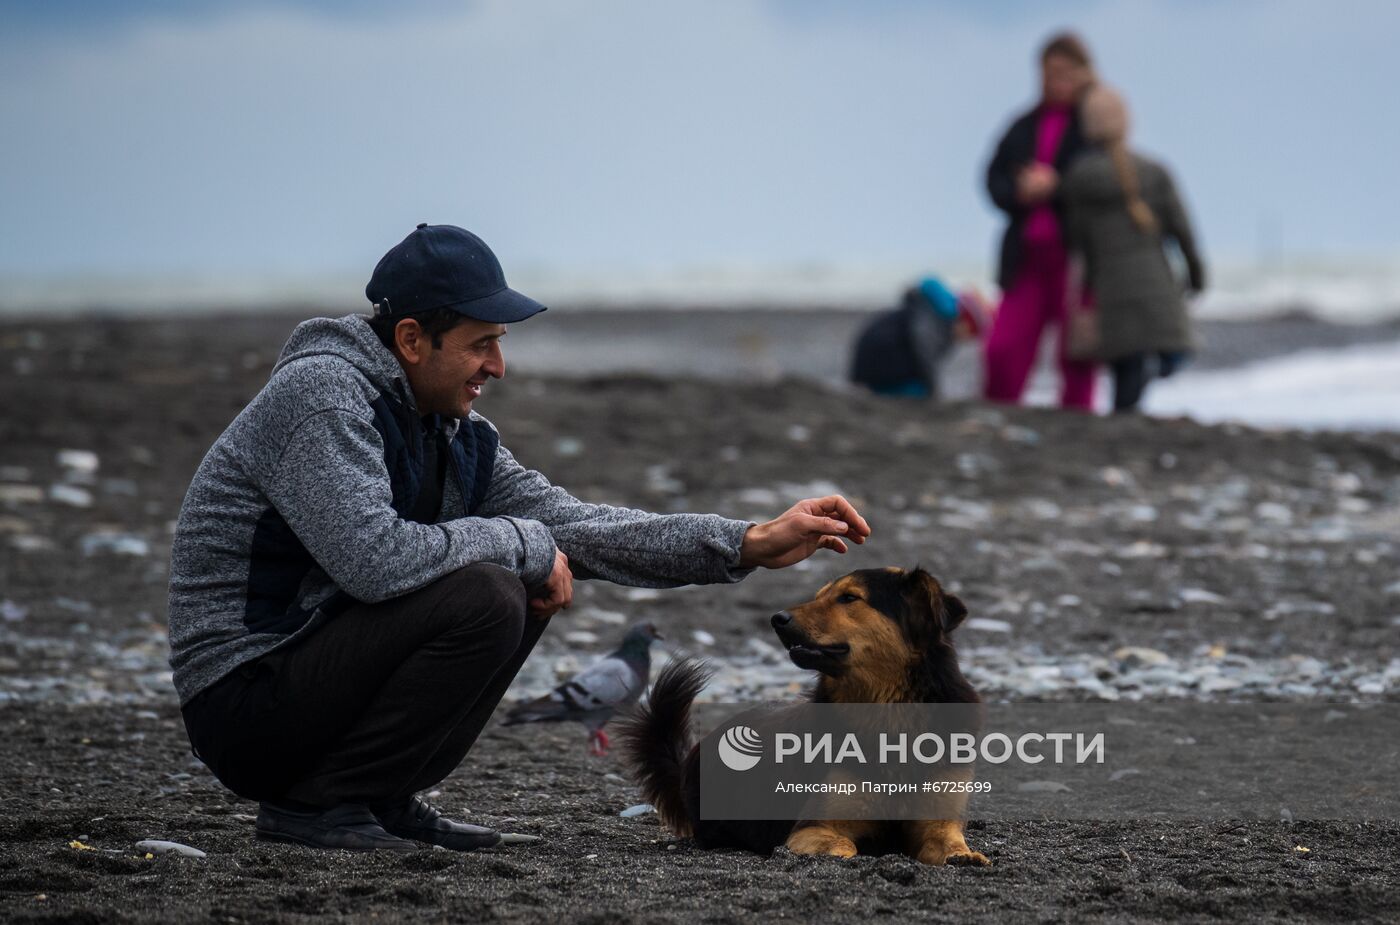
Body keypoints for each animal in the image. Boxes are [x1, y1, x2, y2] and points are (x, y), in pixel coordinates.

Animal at [618, 562, 991, 867]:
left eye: (849, 598)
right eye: (820, 596)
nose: (777, 619)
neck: (889, 714)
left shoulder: (937, 818)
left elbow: (947, 839)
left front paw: (963, 855)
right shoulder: (815, 825)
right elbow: (844, 845)